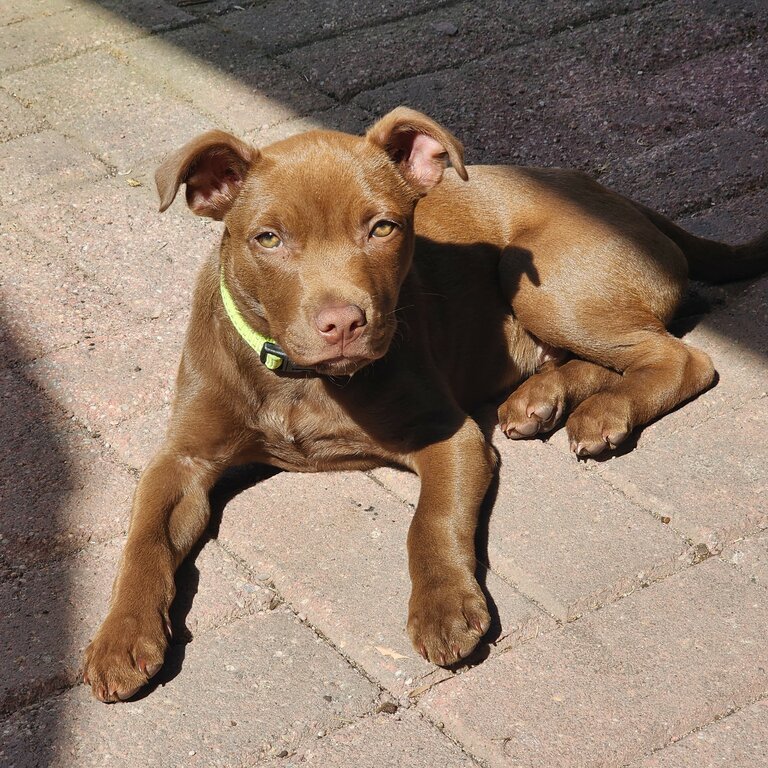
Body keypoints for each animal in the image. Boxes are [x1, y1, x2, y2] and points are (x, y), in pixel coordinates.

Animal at [81, 106, 764, 704]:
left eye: (382, 228)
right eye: (268, 239)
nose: (343, 323)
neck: (304, 379)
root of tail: (619, 199)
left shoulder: (448, 435)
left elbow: (430, 521)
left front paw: (444, 608)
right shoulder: (181, 460)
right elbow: (143, 541)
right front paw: (119, 640)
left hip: (550, 286)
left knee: (679, 357)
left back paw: (605, 413)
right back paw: (541, 400)